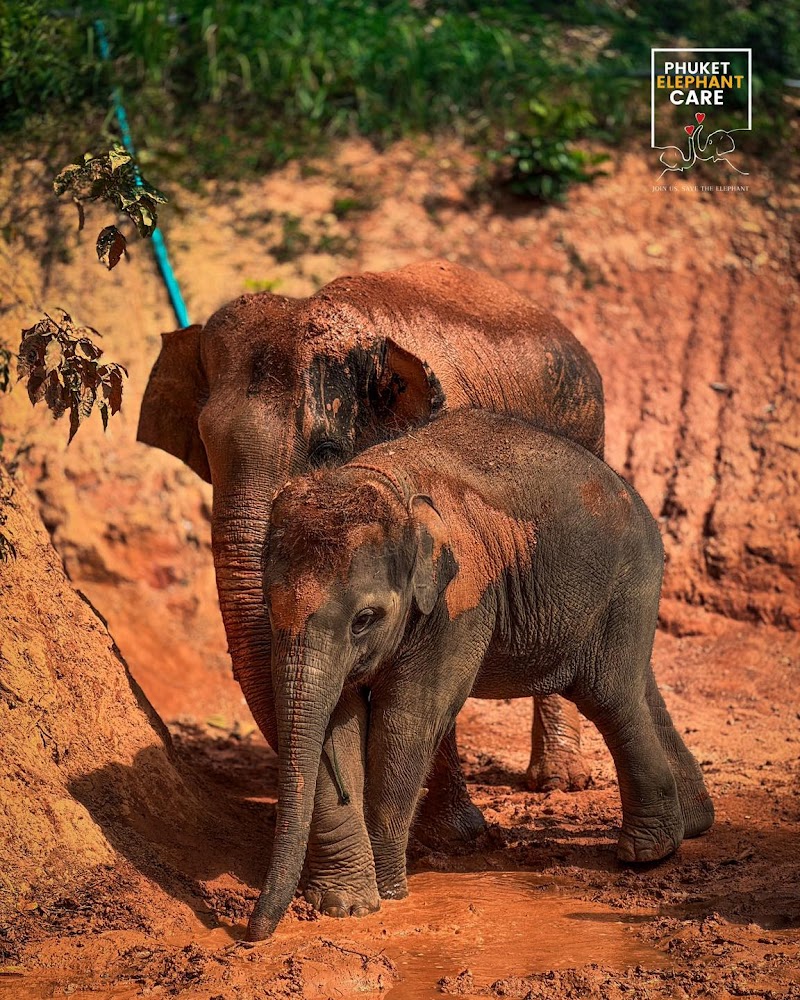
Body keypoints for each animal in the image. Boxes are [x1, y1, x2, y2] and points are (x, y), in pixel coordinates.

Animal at [249, 408, 714, 940]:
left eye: (364, 618)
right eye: (268, 607)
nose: (252, 933)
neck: (386, 482)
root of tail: (630, 491)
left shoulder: (459, 601)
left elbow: (406, 721)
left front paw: (389, 892)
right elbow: (338, 724)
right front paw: (345, 906)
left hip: (625, 585)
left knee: (610, 696)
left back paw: (646, 854)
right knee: (638, 686)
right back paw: (691, 823)